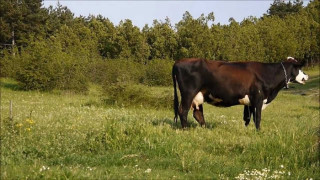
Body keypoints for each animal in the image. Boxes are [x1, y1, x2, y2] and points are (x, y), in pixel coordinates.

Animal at [171, 57, 308, 129]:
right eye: (300, 68)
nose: (306, 76)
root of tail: (178, 62)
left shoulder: (250, 103)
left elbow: (248, 118)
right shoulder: (258, 98)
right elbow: (257, 118)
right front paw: (259, 132)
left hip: (198, 96)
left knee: (197, 113)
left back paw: (204, 128)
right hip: (188, 93)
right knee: (183, 111)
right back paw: (185, 129)